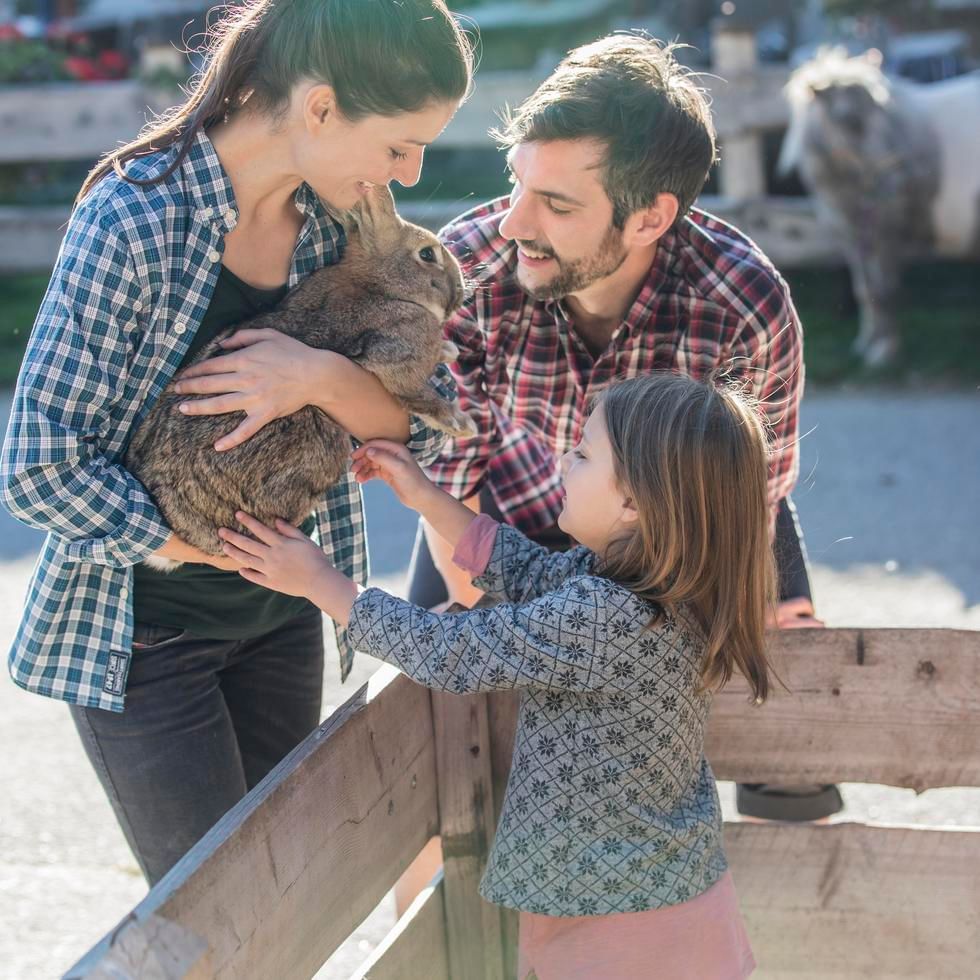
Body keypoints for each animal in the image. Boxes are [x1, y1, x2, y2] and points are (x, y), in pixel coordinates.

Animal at [124, 182, 476, 576]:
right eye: (427, 254)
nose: (460, 291)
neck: (376, 282)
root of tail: (179, 527)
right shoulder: (397, 358)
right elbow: (419, 394)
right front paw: (461, 424)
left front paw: (448, 350)